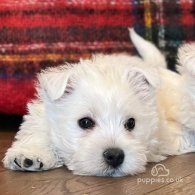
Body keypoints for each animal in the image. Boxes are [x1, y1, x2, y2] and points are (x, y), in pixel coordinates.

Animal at [2, 29, 195, 177]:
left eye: (130, 123)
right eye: (85, 122)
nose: (115, 156)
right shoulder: (42, 114)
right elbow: (38, 132)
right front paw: (29, 154)